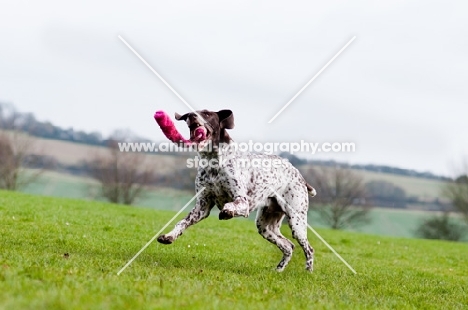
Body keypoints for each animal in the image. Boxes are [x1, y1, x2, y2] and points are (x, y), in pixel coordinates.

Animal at [155, 109, 316, 272]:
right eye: (190, 114)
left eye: (206, 114)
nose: (192, 116)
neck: (213, 162)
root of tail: (299, 175)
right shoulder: (201, 207)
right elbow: (182, 223)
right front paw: (169, 236)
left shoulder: (243, 203)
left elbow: (230, 205)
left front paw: (227, 212)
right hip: (265, 225)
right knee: (288, 246)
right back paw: (278, 270)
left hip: (296, 221)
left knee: (308, 249)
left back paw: (308, 272)